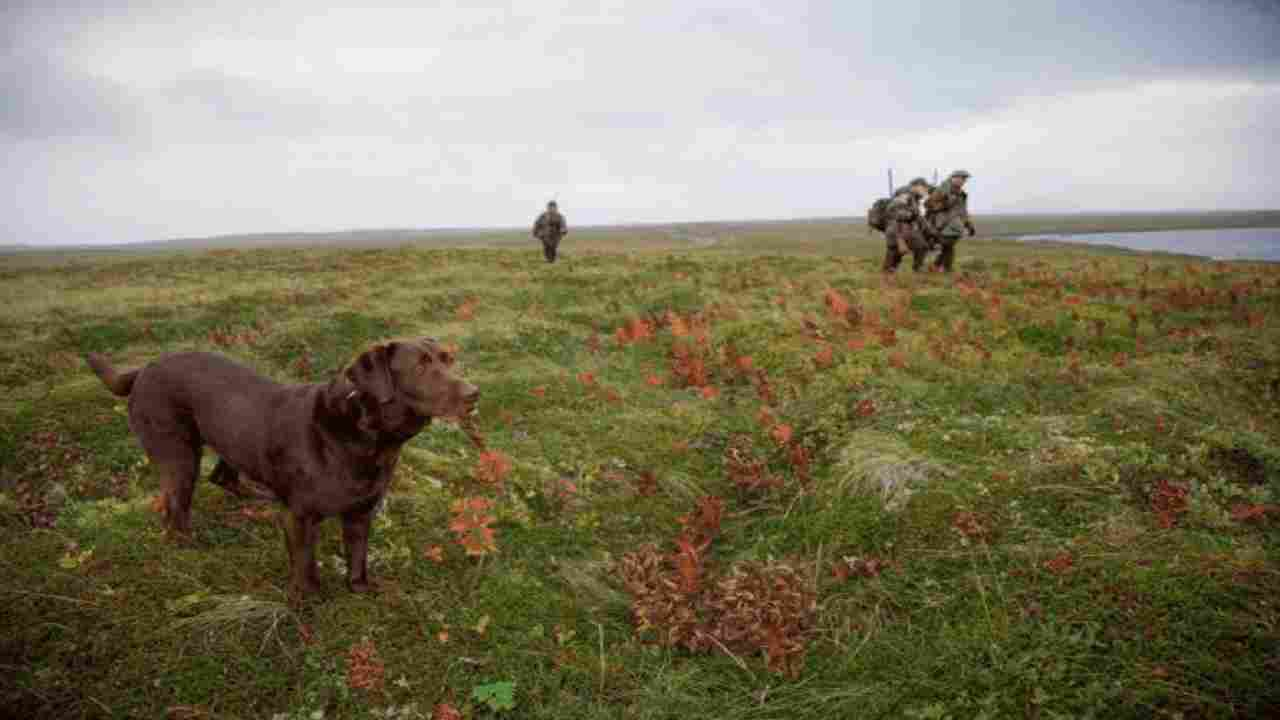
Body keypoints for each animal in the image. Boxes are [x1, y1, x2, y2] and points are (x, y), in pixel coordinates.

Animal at [87, 335, 481, 594]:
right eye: (421, 366)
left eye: (448, 360)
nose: (475, 393)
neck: (365, 433)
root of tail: (142, 369)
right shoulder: (299, 517)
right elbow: (305, 562)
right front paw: (307, 600)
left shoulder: (359, 513)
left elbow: (358, 555)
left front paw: (359, 589)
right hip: (179, 456)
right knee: (174, 509)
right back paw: (187, 547)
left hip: (231, 438)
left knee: (222, 477)